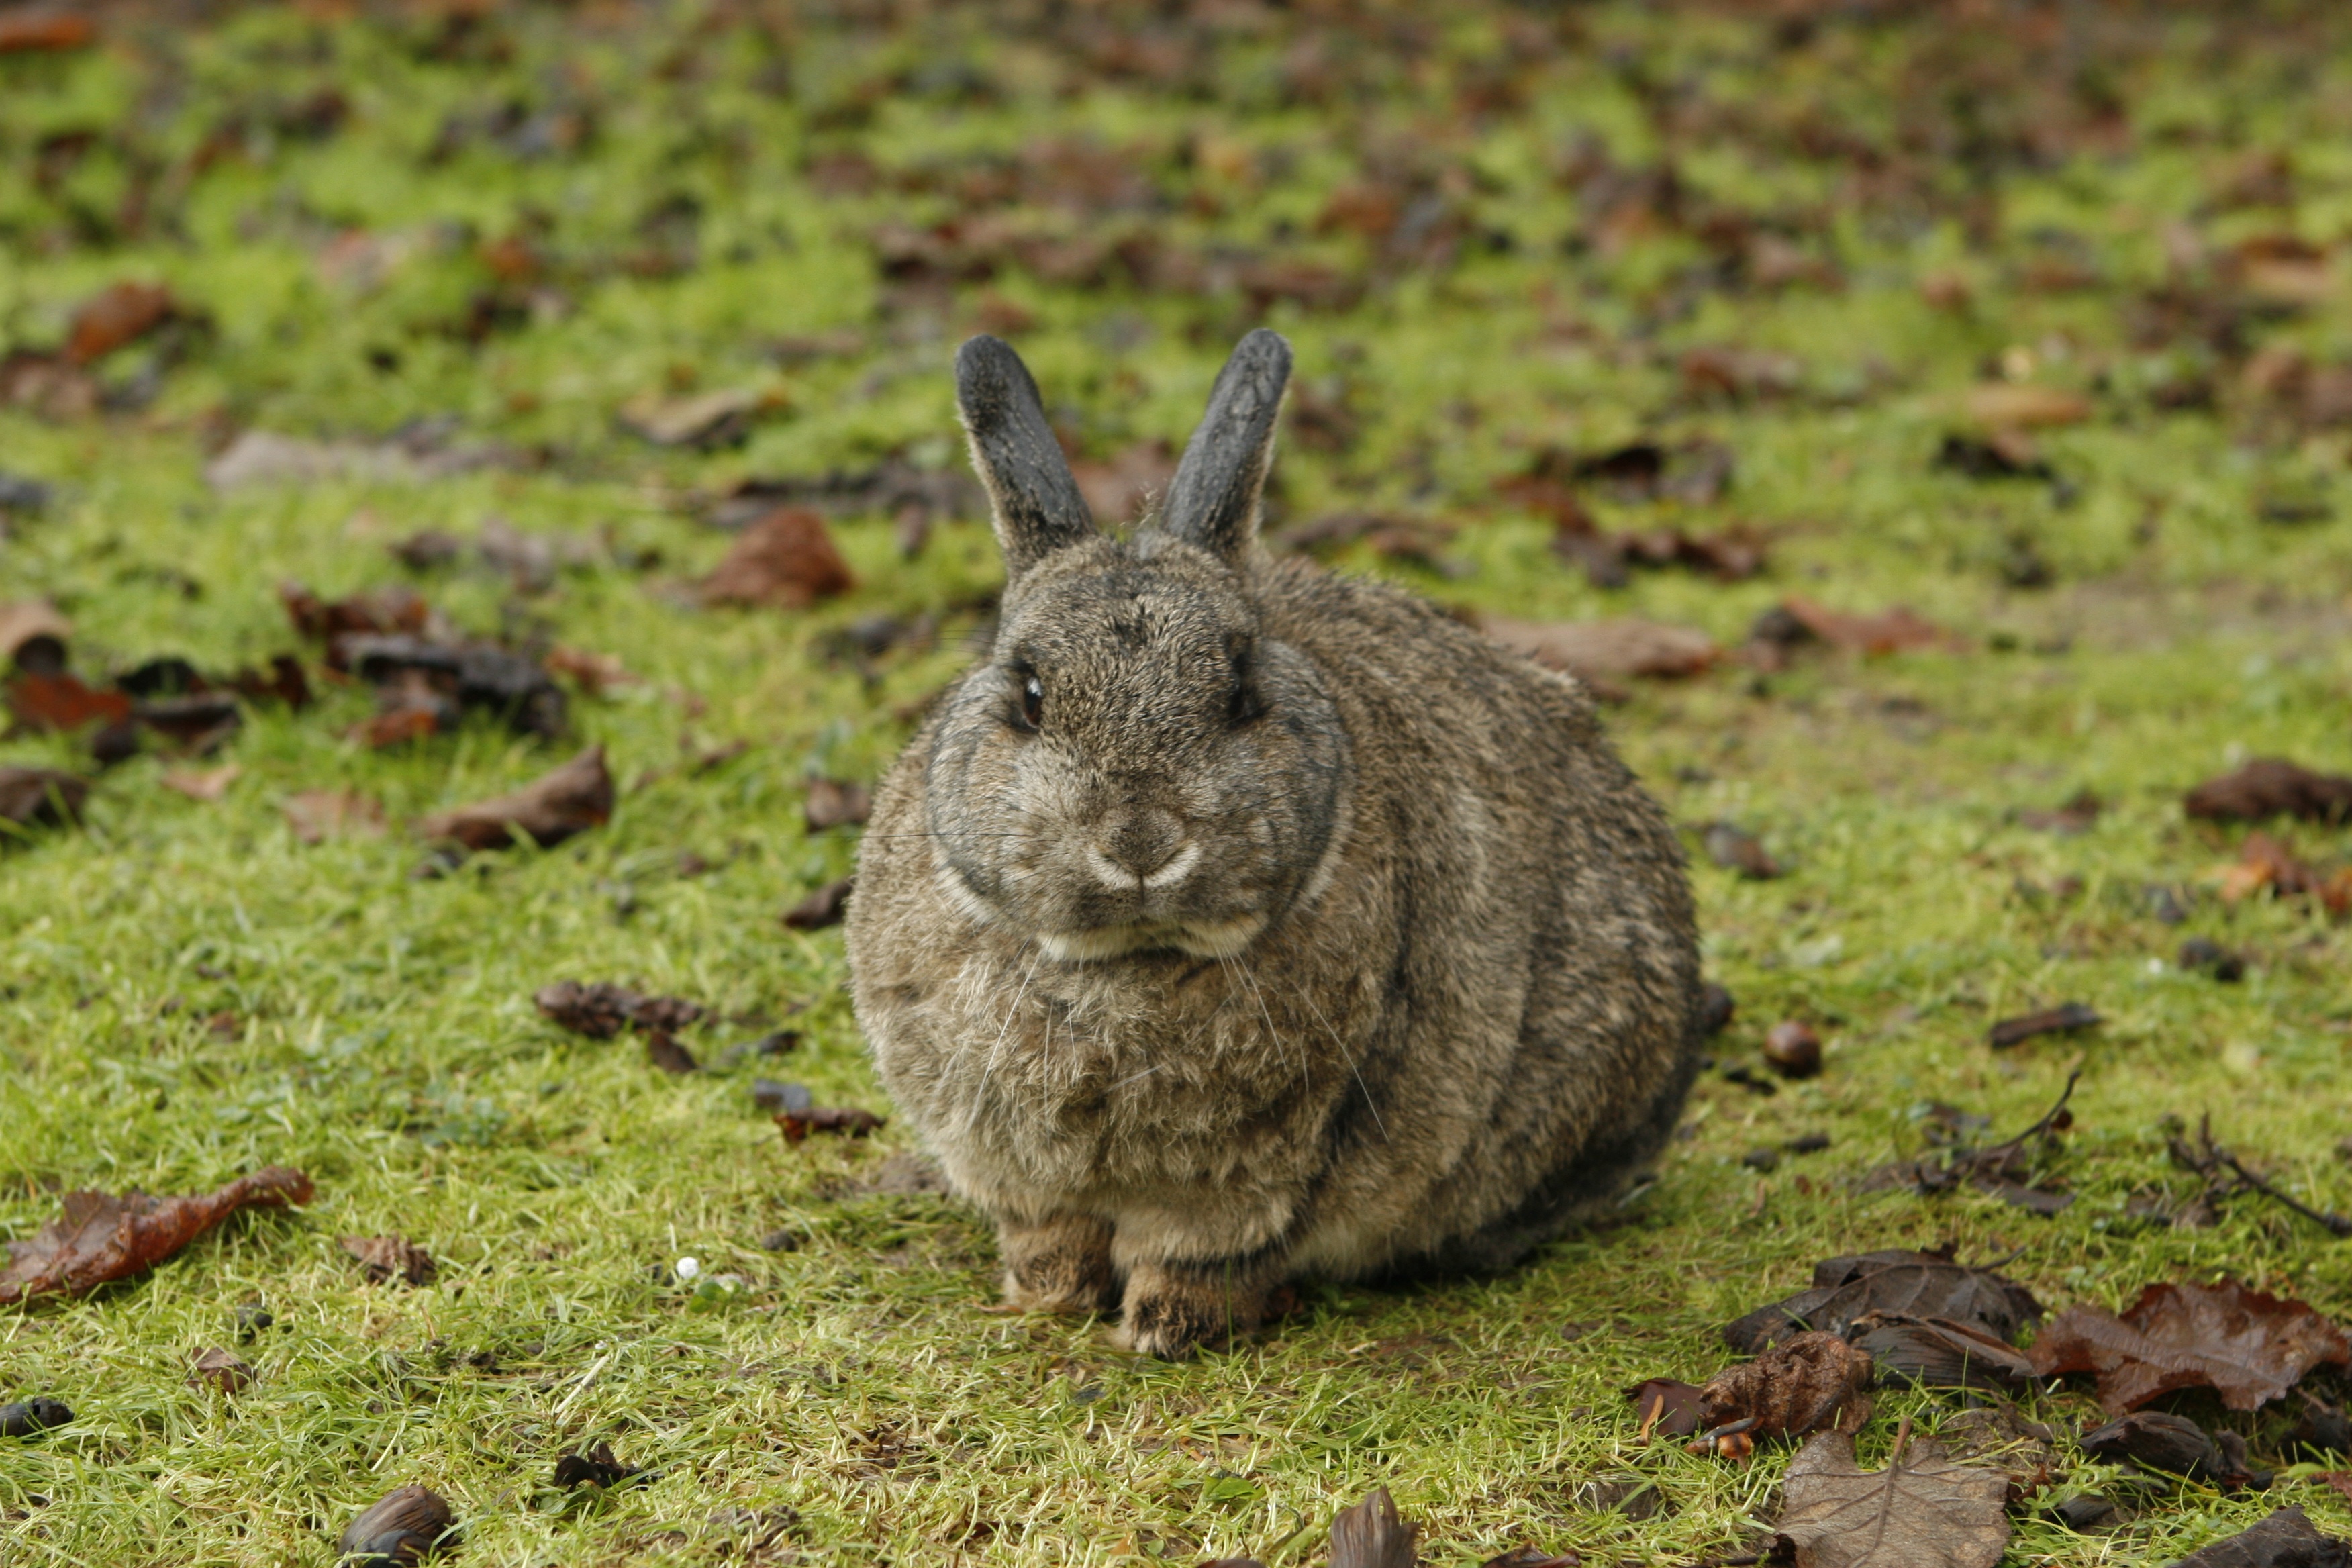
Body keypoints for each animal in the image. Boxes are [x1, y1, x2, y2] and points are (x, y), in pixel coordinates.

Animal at [856, 331, 1702, 1363]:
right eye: (1030, 694)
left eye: (1240, 693)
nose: (1142, 843)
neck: (1128, 964)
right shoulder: (1015, 1169)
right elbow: (1050, 1235)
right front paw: (1046, 1299)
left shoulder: (1262, 1170)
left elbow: (1202, 1252)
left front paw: (1162, 1328)